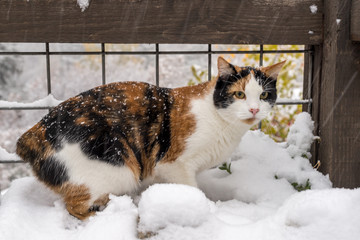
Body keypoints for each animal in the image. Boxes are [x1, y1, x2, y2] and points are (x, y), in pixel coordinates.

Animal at [16, 57, 286, 219]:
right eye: (239, 94)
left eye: (264, 95)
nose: (254, 110)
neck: (222, 122)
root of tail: (33, 134)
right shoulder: (173, 164)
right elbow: (191, 189)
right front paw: (205, 208)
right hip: (119, 167)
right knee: (74, 206)